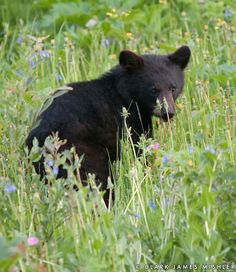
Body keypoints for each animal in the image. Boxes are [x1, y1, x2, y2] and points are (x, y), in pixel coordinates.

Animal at [25, 46, 191, 204]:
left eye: (173, 87)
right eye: (153, 89)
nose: (168, 112)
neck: (125, 95)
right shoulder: (129, 123)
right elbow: (138, 151)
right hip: (81, 153)